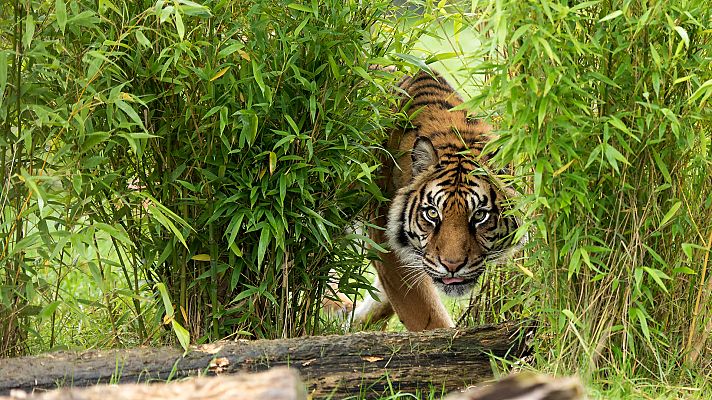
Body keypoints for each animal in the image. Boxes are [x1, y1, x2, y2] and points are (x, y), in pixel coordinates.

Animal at [329, 69, 523, 331]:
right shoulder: (389, 249)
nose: (452, 266)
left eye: (479, 215)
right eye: (432, 213)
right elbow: (428, 318)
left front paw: (353, 322)